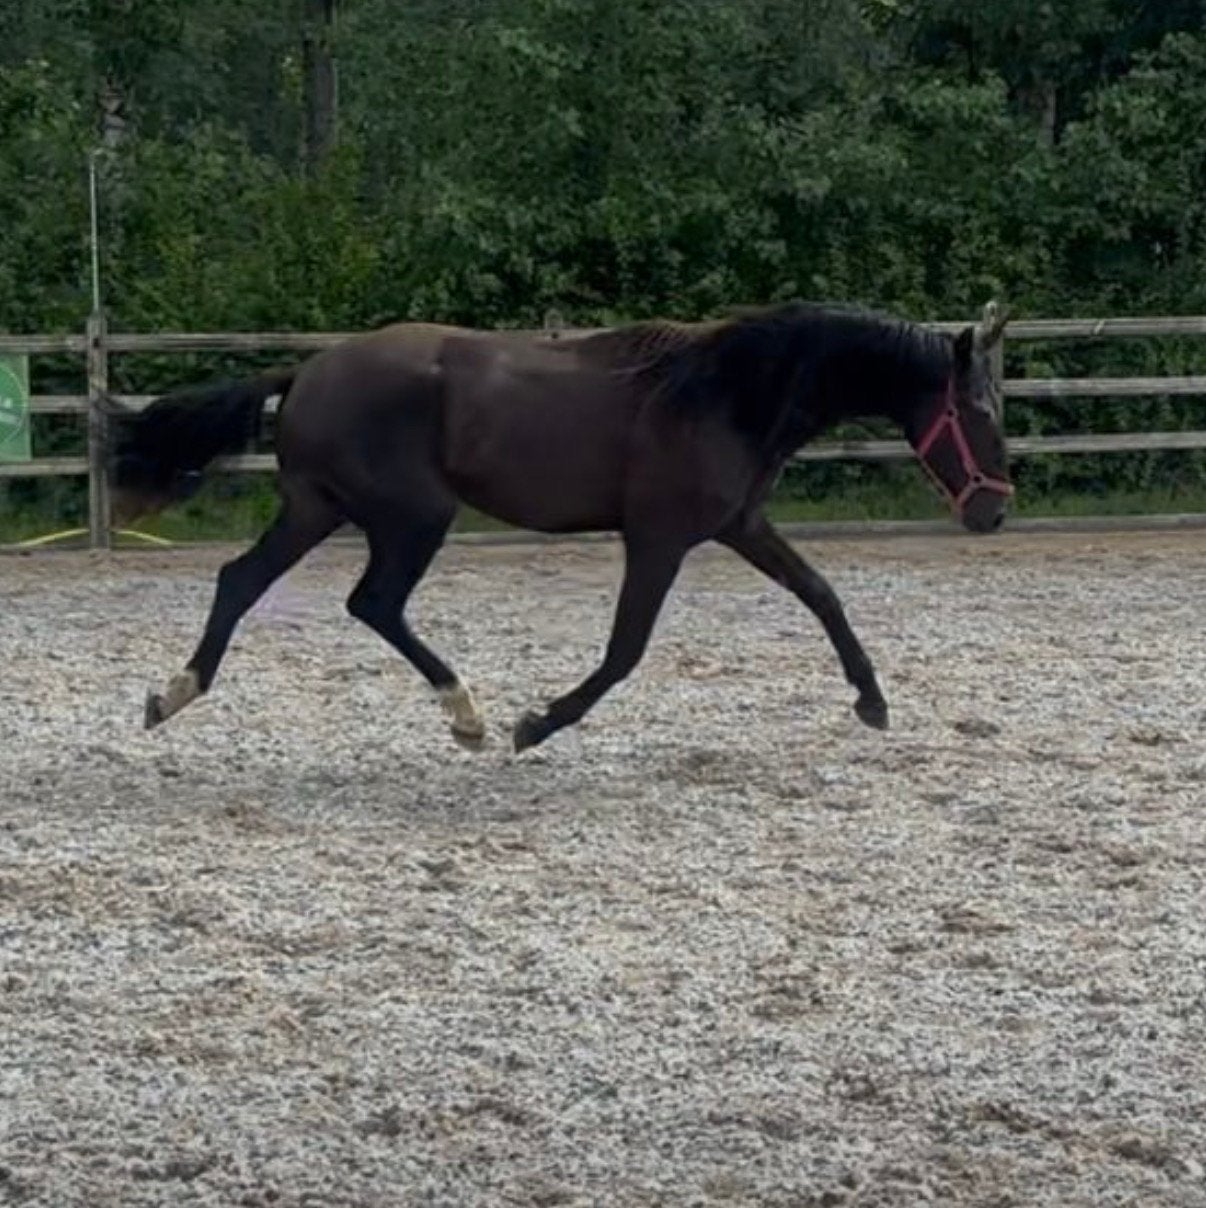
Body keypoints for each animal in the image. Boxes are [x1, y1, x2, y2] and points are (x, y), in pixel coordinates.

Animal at [104, 301, 1012, 752]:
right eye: (978, 412)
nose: (995, 508)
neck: (725, 391)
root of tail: (307, 370)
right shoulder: (658, 538)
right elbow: (624, 651)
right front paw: (537, 724)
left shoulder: (740, 525)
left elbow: (823, 596)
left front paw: (872, 700)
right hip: (411, 515)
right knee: (372, 602)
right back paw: (469, 715)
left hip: (317, 508)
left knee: (245, 580)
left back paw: (171, 695)